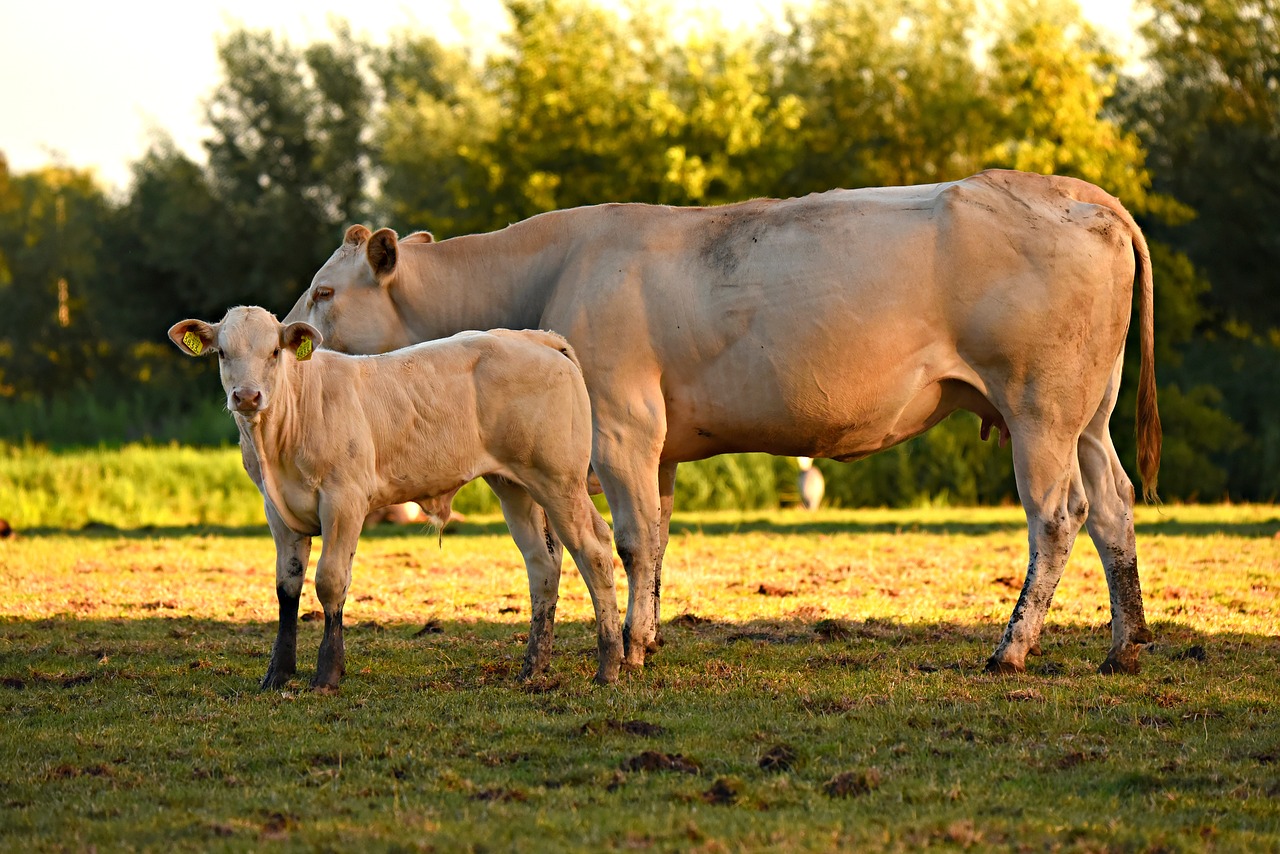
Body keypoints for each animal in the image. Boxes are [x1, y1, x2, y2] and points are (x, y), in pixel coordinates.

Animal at [171, 307, 624, 686]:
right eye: (223, 352)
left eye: (273, 353)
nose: (247, 397)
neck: (284, 431)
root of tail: (536, 338)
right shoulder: (278, 512)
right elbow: (287, 589)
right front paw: (277, 674)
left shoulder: (344, 501)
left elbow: (330, 582)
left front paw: (327, 674)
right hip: (515, 486)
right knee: (542, 564)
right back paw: (532, 668)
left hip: (559, 481)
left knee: (595, 549)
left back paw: (609, 665)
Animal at [285, 170, 1167, 676]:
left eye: (326, 290)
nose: (290, 333)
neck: (553, 269)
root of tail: (1071, 189)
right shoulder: (660, 444)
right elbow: (657, 539)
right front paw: (647, 636)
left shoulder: (622, 424)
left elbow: (631, 540)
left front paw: (629, 651)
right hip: (1087, 416)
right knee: (1114, 509)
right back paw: (1124, 646)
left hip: (1038, 407)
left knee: (1057, 517)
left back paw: (1011, 648)